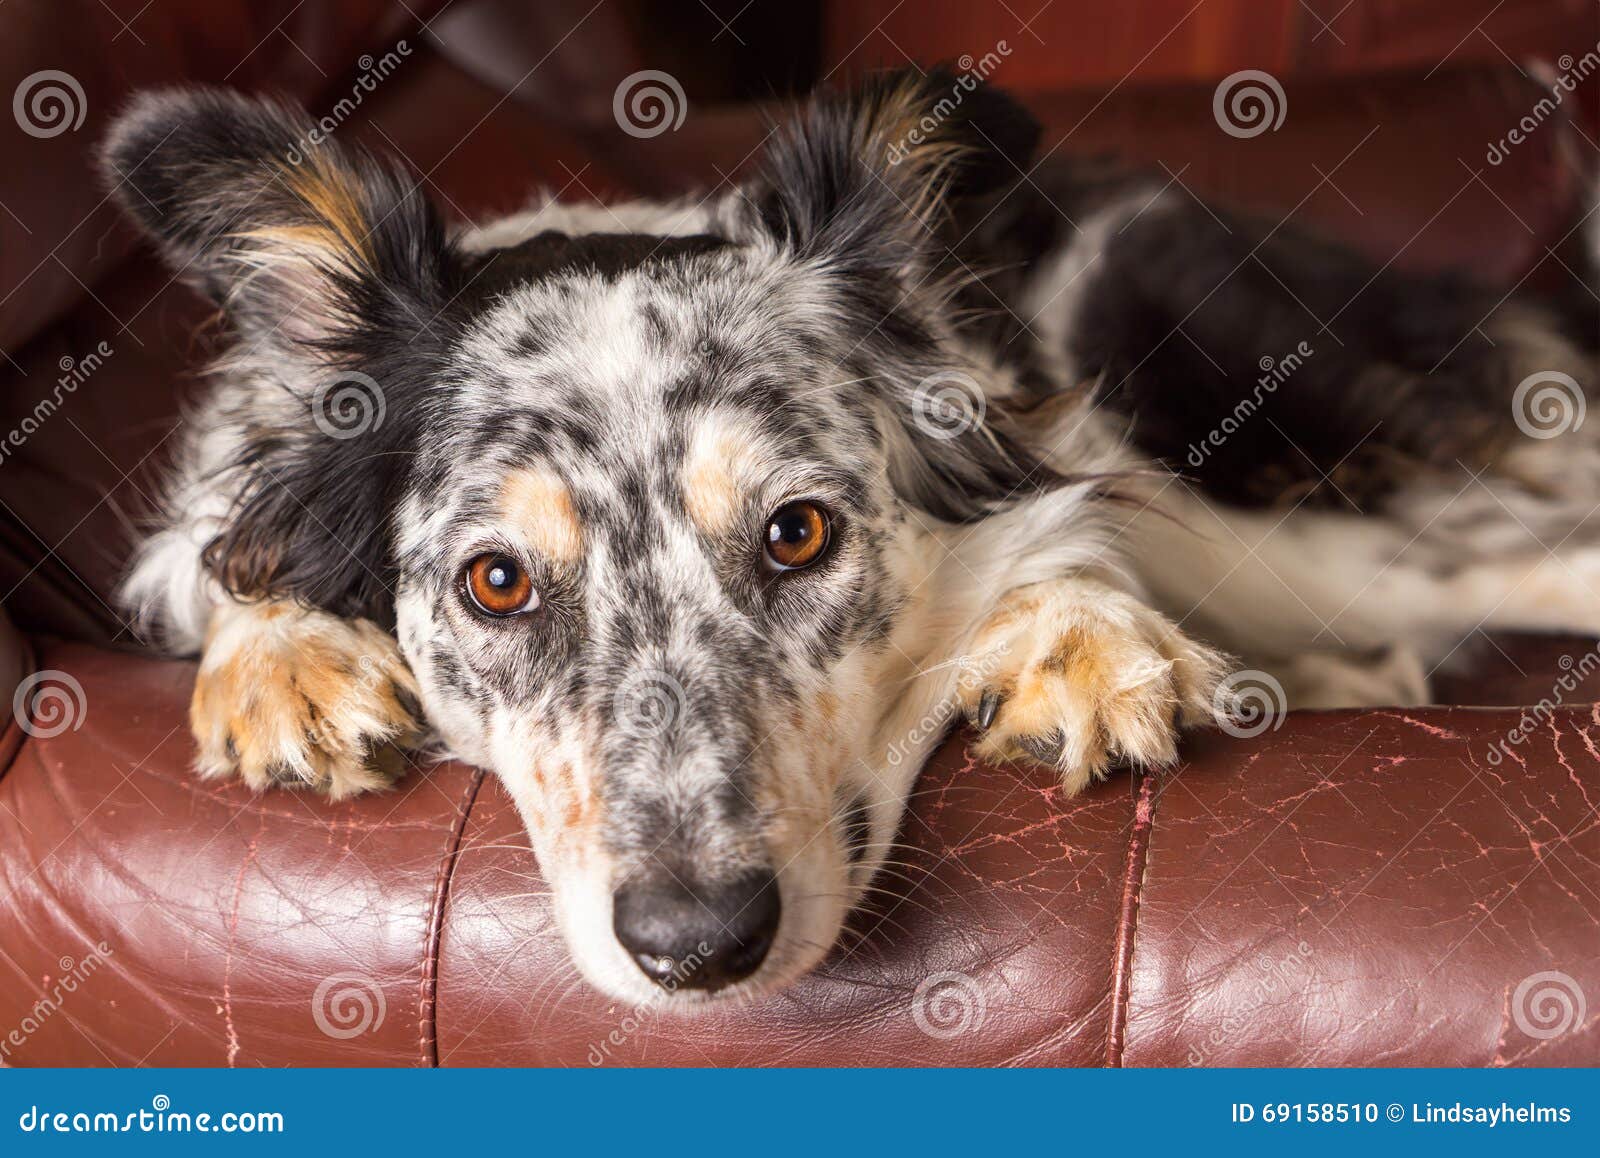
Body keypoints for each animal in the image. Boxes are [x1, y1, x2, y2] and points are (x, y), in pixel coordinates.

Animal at [103, 69, 1600, 1004]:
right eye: (496, 581)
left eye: (797, 533)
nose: (697, 947)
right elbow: (226, 550)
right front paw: (283, 659)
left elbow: (1062, 534)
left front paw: (1074, 635)